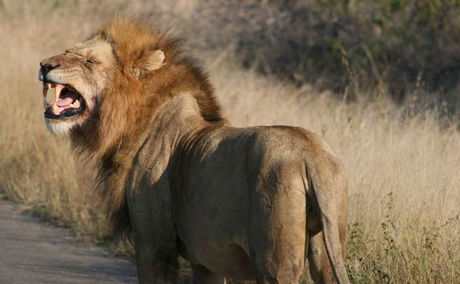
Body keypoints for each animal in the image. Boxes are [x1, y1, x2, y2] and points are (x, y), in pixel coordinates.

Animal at [38, 17, 348, 284]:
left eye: (90, 61)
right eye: (68, 51)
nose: (44, 64)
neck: (135, 120)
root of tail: (311, 154)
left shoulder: (154, 245)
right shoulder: (207, 261)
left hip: (275, 263)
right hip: (325, 248)